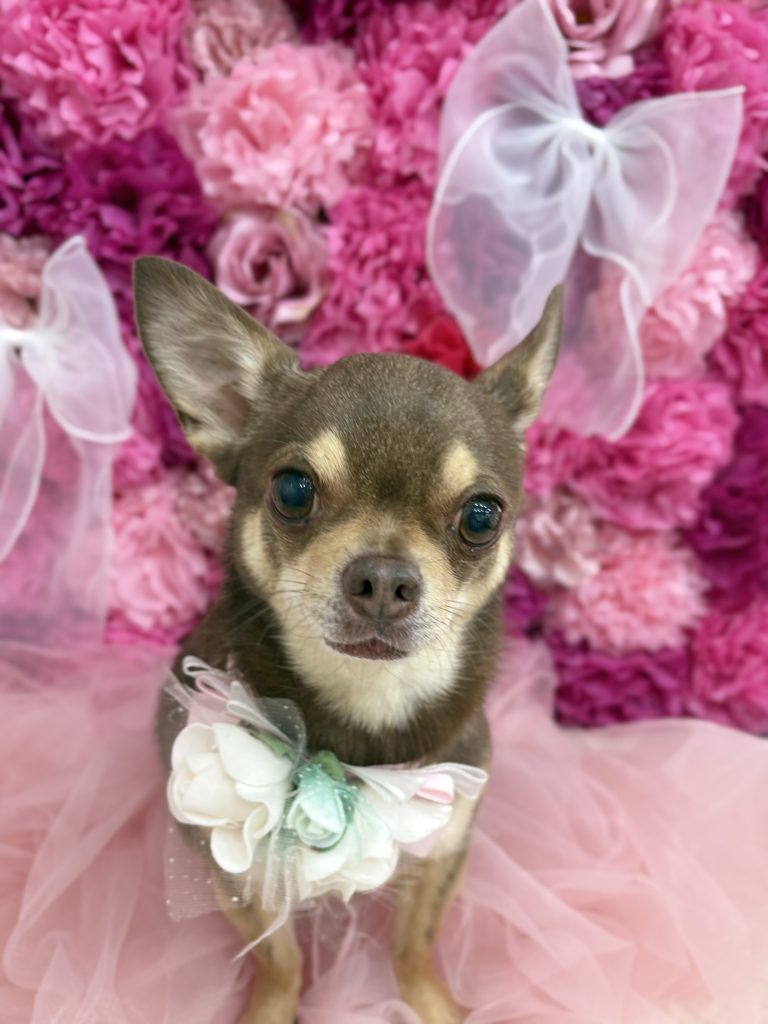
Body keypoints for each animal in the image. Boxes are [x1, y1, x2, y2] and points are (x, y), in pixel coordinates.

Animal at [134, 256, 562, 1024]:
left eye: (482, 516)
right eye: (294, 491)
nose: (384, 579)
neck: (368, 704)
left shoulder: (445, 846)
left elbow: (414, 948)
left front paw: (434, 1006)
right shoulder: (230, 871)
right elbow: (278, 960)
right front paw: (270, 1010)